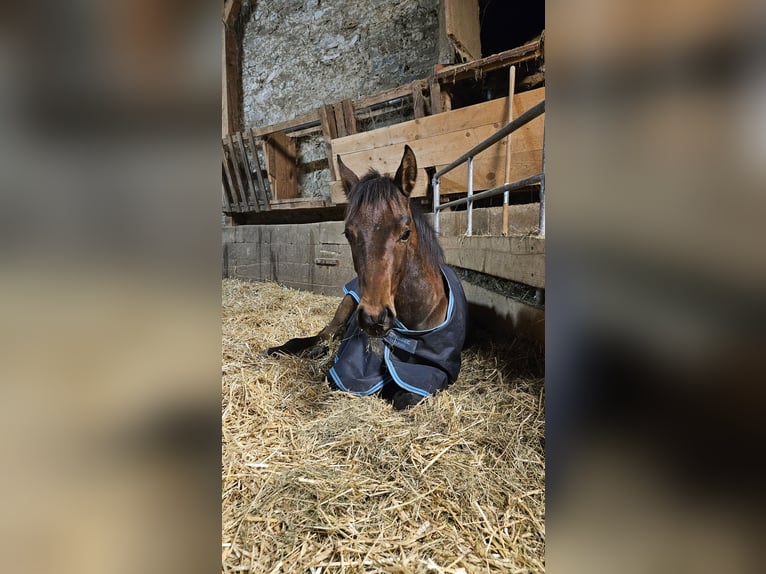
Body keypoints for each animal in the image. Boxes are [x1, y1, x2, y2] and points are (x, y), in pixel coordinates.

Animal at [268, 146, 468, 412]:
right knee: (324, 334)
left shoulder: (432, 372)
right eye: (348, 234)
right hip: (345, 307)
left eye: (405, 232)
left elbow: (404, 397)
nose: (374, 318)